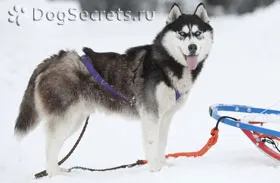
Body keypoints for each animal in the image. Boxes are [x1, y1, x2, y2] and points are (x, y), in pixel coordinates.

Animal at [14, 3, 213, 177]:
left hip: (75, 119)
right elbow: (152, 142)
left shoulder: (165, 117)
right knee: (50, 144)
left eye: (197, 33)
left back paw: (57, 169)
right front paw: (155, 169)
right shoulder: (151, 114)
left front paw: (163, 165)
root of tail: (53, 60)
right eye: (182, 33)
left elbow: (162, 143)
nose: (192, 47)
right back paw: (54, 173)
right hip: (65, 118)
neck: (166, 63)